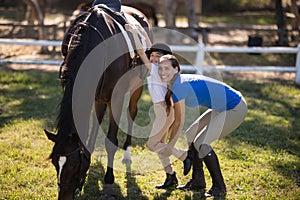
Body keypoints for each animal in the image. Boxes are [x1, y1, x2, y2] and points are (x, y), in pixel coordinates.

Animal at [44, 4, 150, 200]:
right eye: (55, 163)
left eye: (73, 165)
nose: (65, 196)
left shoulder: (116, 96)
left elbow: (111, 141)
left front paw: (108, 182)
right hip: (99, 97)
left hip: (136, 86)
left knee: (132, 113)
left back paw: (127, 154)